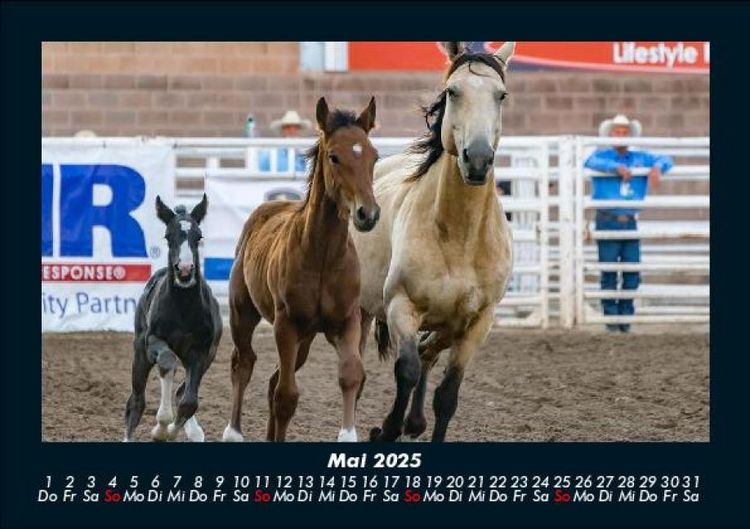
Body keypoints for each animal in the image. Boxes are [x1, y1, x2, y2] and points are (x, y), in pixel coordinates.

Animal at [124, 194, 222, 442]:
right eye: (168, 236)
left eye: (199, 236)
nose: (185, 270)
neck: (183, 308)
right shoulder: (152, 342)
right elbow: (167, 361)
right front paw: (161, 426)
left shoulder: (201, 352)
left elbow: (189, 402)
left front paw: (170, 431)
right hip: (140, 354)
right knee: (136, 402)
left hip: (206, 357)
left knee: (181, 391)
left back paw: (194, 431)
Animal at [222, 97, 380, 442]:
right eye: (334, 156)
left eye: (374, 156)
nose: (368, 214)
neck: (323, 257)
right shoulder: (286, 325)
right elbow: (286, 396)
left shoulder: (347, 321)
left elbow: (351, 375)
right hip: (243, 313)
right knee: (244, 363)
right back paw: (233, 432)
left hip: (305, 340)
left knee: (272, 378)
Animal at [350, 41, 516, 442]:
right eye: (453, 92)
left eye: (501, 95)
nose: (478, 159)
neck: (460, 236)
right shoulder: (401, 306)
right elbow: (405, 370)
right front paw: (386, 429)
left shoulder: (477, 324)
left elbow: (447, 395)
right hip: (361, 310)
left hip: (446, 324)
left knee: (429, 353)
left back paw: (414, 420)